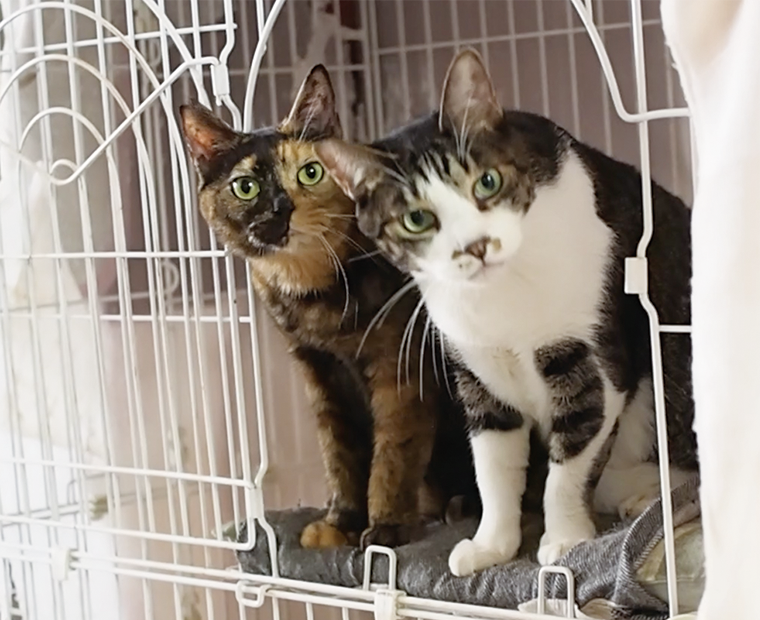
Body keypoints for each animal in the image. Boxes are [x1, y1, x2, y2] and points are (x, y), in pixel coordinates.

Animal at [179, 65, 478, 550]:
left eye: (311, 172)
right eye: (245, 187)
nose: (280, 208)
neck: (313, 294)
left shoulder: (399, 368)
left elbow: (393, 452)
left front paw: (386, 527)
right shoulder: (319, 373)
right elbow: (340, 454)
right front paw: (341, 522)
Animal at [314, 49, 698, 574]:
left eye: (488, 182)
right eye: (417, 218)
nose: (475, 246)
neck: (503, 299)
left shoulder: (592, 364)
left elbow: (570, 464)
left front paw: (564, 540)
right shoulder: (478, 372)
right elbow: (493, 468)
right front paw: (490, 544)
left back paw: (646, 495)